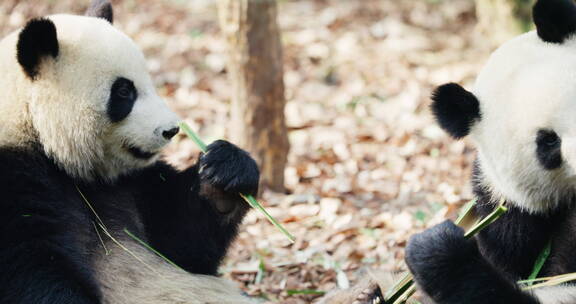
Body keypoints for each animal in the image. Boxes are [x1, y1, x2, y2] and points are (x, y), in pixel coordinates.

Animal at [0, 1, 258, 302]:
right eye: (124, 91)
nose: (171, 129)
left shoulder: (130, 182)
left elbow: (184, 243)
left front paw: (225, 173)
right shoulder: (14, 177)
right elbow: (31, 267)